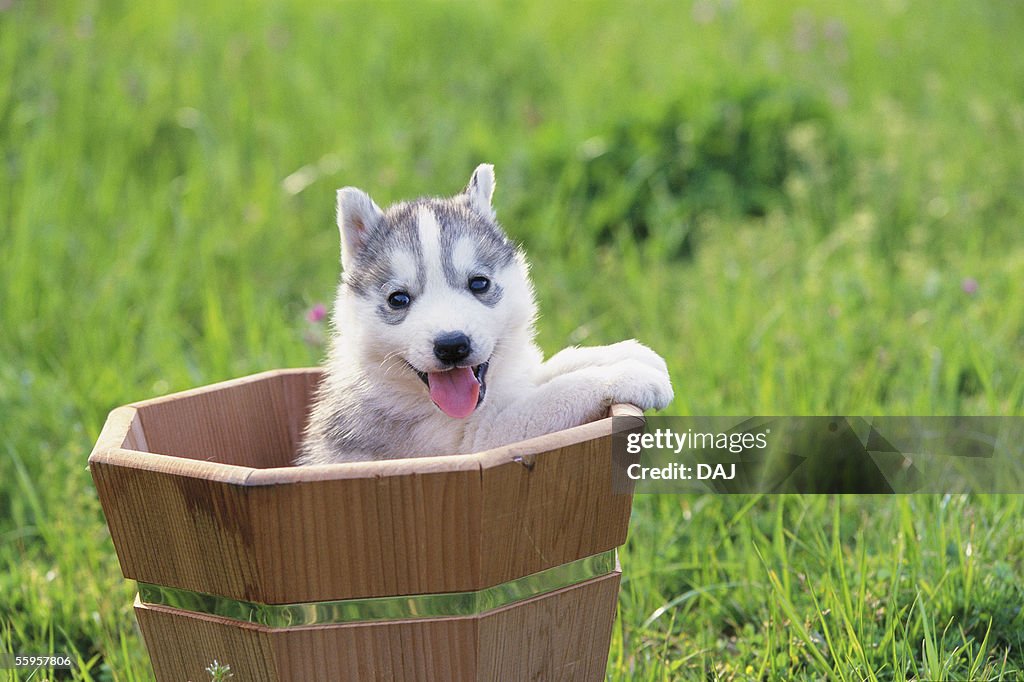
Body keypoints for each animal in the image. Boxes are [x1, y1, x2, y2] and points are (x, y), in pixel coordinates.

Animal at [299, 163, 671, 462]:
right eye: (398, 299)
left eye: (479, 283)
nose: (452, 345)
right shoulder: (479, 440)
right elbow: (558, 392)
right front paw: (629, 375)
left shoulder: (512, 383)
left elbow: (552, 367)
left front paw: (626, 353)